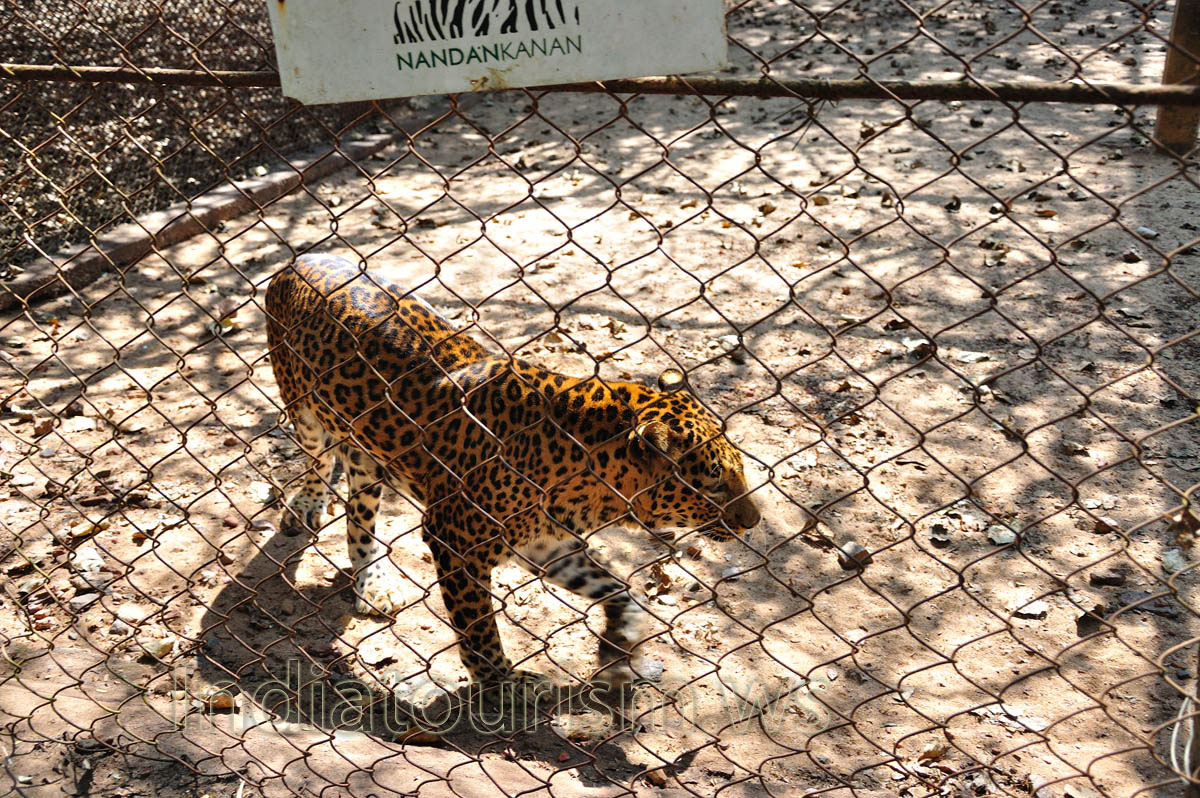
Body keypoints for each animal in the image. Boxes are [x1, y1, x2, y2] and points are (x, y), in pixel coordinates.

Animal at [265, 253, 761, 694]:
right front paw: (503, 682)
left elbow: (616, 588)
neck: (592, 478)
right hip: (302, 407)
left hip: (367, 449)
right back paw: (307, 505)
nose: (754, 522)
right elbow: (478, 626)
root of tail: (298, 259)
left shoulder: (547, 543)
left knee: (359, 509)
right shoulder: (457, 541)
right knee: (316, 458)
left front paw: (619, 644)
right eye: (714, 484)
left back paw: (372, 581)